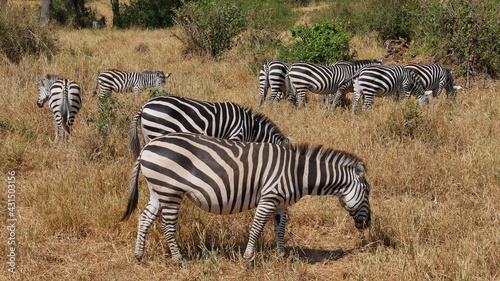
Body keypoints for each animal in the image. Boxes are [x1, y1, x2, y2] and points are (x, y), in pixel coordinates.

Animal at [121, 131, 372, 264]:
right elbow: (257, 228)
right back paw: (179, 260)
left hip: (158, 190)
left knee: (144, 219)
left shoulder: (281, 203)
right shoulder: (269, 197)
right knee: (167, 226)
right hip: (170, 190)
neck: (297, 172)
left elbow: (280, 230)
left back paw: (138, 256)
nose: (367, 224)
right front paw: (248, 258)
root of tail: (147, 147)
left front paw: (282, 256)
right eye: (368, 192)